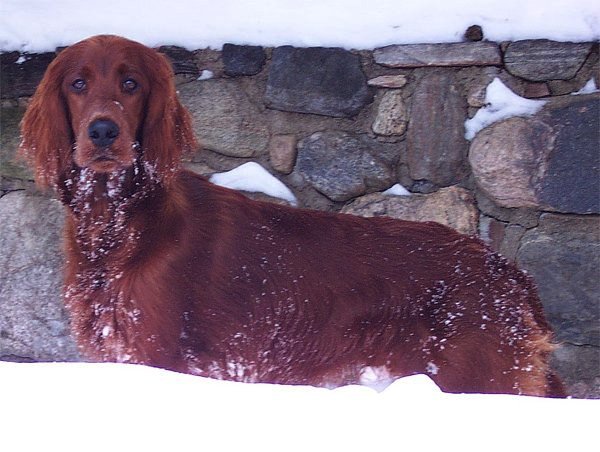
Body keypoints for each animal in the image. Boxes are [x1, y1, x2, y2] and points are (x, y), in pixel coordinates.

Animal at [18, 35, 564, 396]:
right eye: (78, 83)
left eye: (130, 83)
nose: (103, 132)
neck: (122, 224)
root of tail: (508, 271)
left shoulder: (159, 356)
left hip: (483, 378)